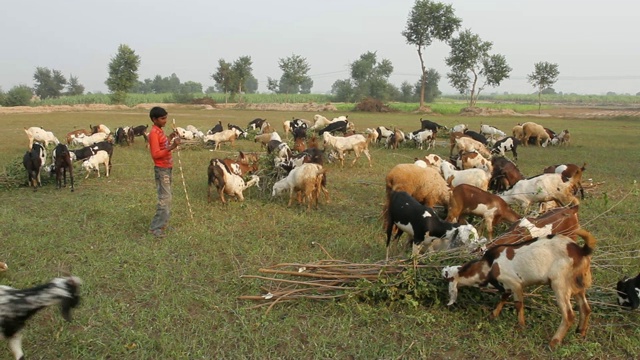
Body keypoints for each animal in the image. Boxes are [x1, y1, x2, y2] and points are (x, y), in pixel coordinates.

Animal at [442, 229, 596, 350]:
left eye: (447, 276)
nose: (442, 269)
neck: (489, 265)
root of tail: (581, 251)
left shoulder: (515, 283)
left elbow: (518, 304)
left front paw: (521, 327)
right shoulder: (507, 286)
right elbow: (503, 297)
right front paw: (493, 315)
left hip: (560, 284)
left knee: (569, 315)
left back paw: (553, 342)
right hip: (578, 286)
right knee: (585, 308)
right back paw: (581, 333)